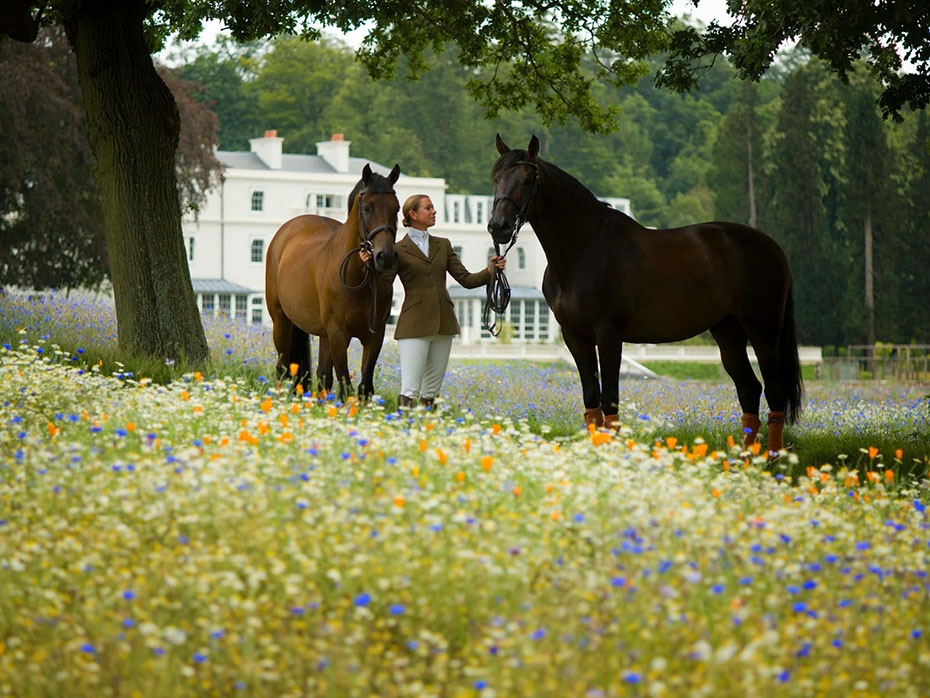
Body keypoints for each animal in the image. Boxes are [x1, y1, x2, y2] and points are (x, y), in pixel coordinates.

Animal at [266, 163, 400, 400]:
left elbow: (365, 386)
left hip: (322, 334)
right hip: (281, 320)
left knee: (322, 377)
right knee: (282, 369)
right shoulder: (338, 334)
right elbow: (345, 386)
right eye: (367, 208)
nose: (385, 256)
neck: (357, 278)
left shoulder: (375, 336)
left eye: (397, 209)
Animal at [486, 136, 796, 454]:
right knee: (749, 389)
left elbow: (609, 400)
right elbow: (591, 400)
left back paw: (771, 459)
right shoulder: (575, 336)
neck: (585, 248)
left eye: (527, 179)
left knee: (774, 391)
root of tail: (773, 247)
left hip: (763, 331)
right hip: (727, 330)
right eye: (496, 178)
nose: (498, 227)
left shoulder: (608, 335)